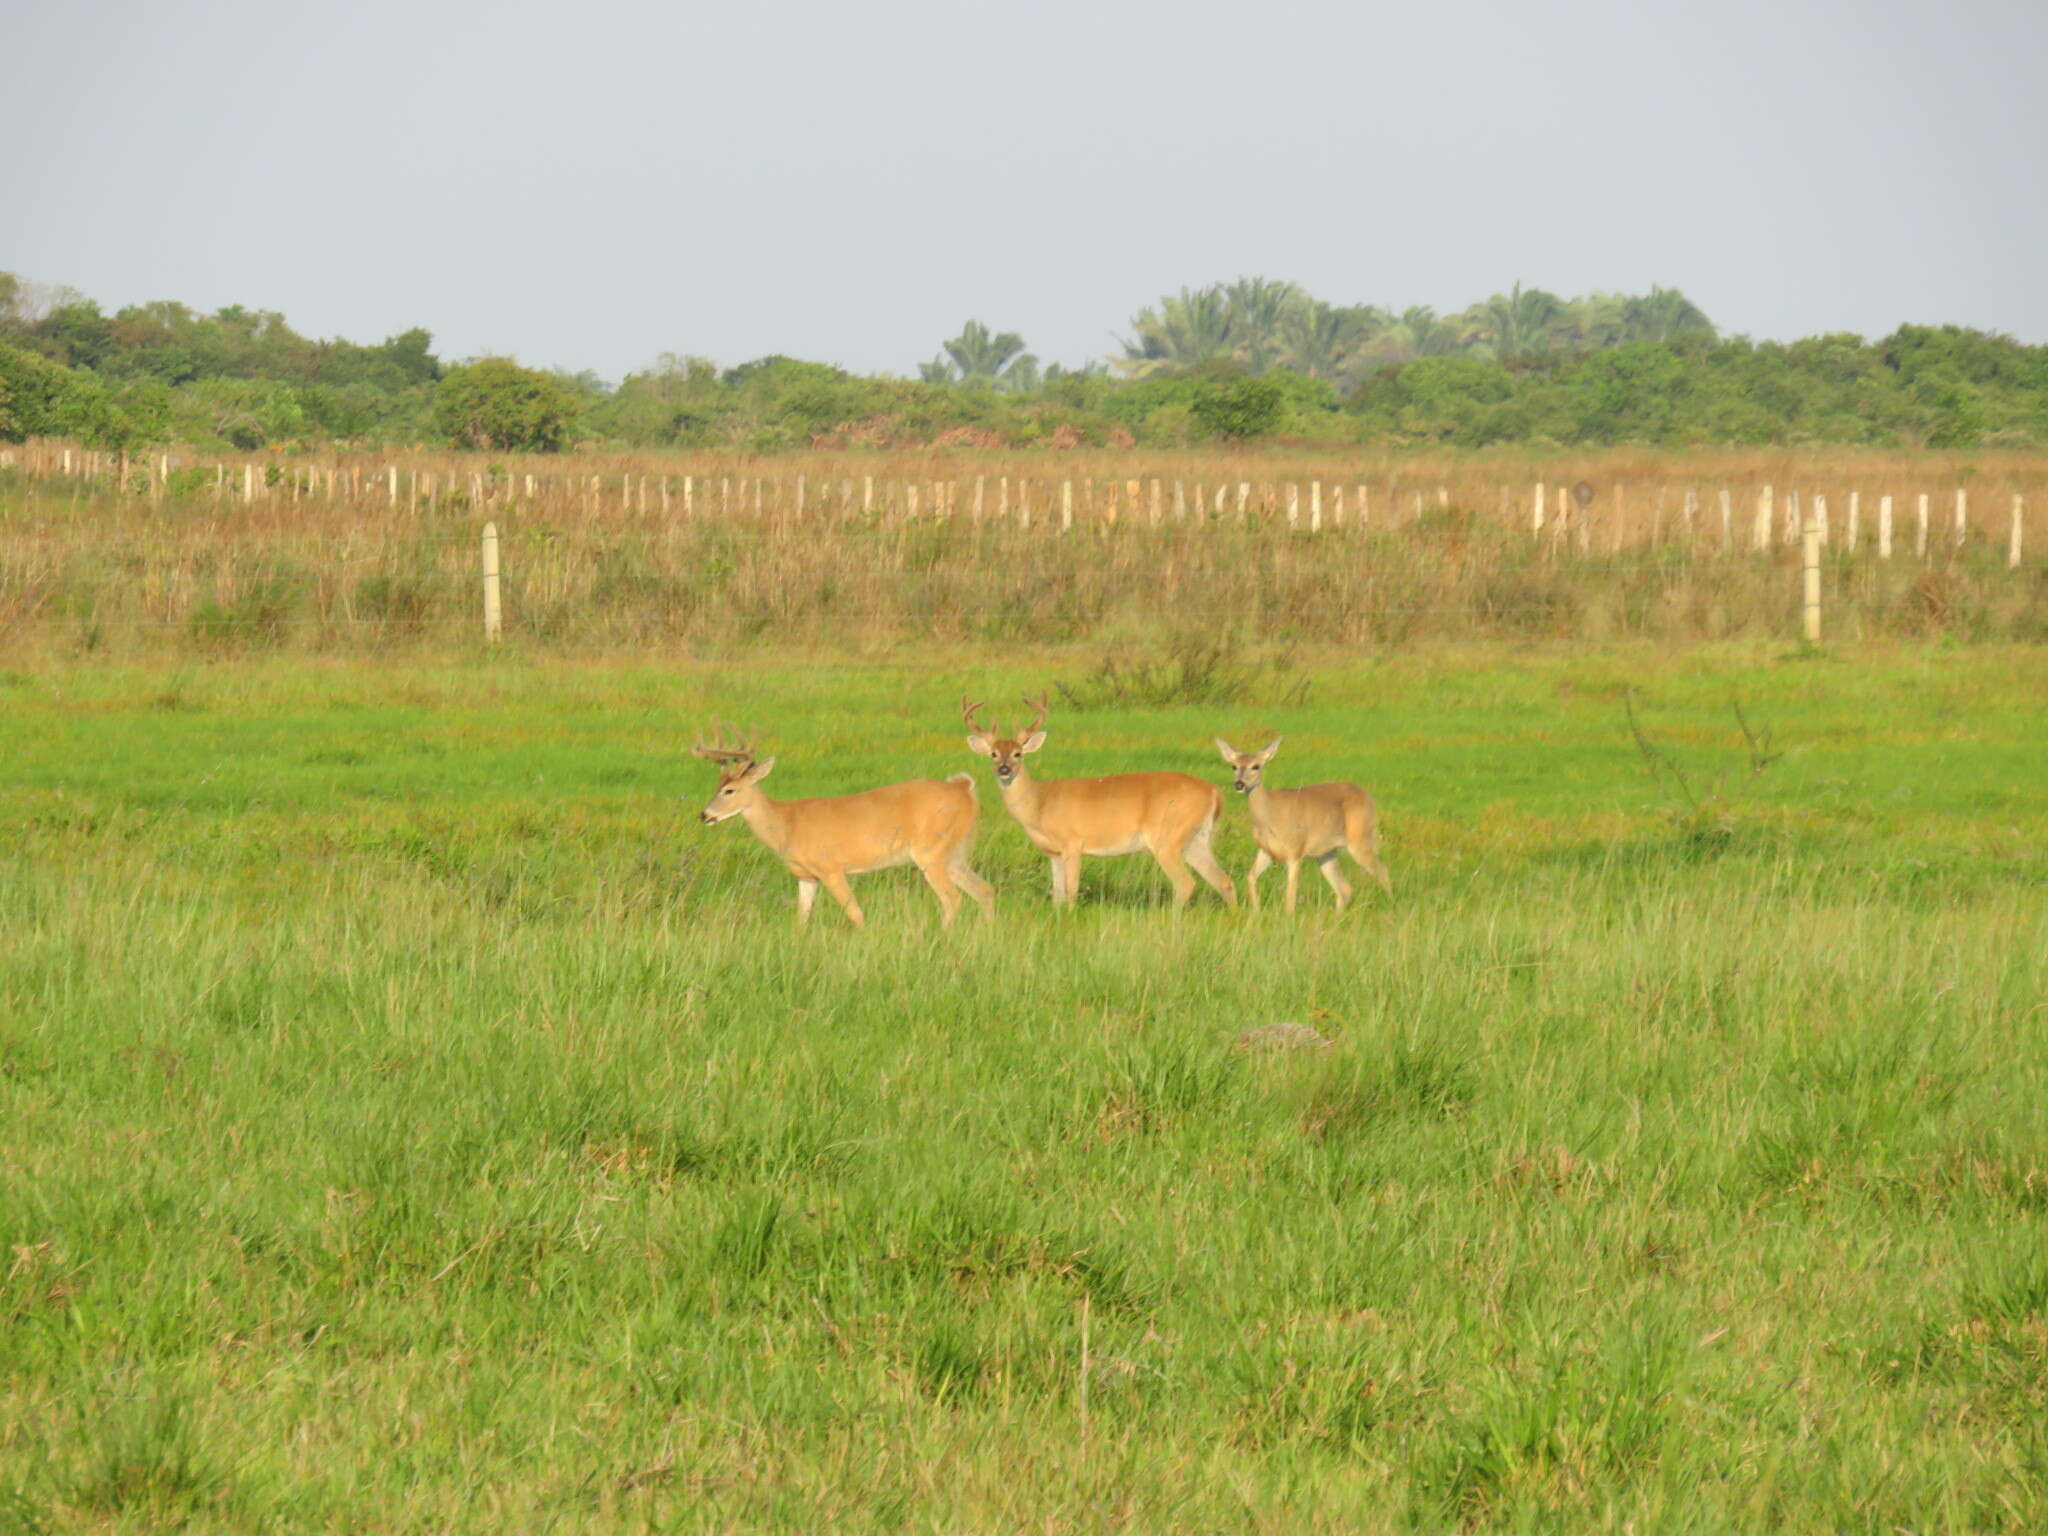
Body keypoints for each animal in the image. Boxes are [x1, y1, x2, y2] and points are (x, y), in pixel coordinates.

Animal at [692, 729, 995, 933]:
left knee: (953, 898)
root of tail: (964, 789)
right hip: (956, 851)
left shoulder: (831, 868)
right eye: (717, 785)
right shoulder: (806, 876)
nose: (704, 815)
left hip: (931, 851)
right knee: (984, 890)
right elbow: (801, 918)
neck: (786, 824)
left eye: (729, 790)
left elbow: (855, 913)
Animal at [958, 700, 1228, 913]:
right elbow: (1057, 894)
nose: (1004, 770)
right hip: (1195, 839)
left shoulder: (1073, 843)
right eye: (993, 754)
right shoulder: (1053, 853)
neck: (1040, 803)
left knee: (1186, 883)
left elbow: (1071, 889)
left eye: (1018, 753)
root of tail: (1214, 791)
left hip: (1167, 837)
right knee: (1222, 880)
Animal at [1212, 737, 1392, 913]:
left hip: (1360, 838)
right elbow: (1250, 877)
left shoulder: (1295, 850)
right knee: (1345, 888)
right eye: (1234, 766)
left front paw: (1288, 918)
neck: (1270, 815)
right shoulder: (1266, 850)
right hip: (1326, 852)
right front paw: (1256, 912)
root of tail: (1368, 797)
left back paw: (1390, 905)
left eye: (1256, 766)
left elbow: (1290, 894)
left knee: (1383, 871)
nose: (1239, 784)